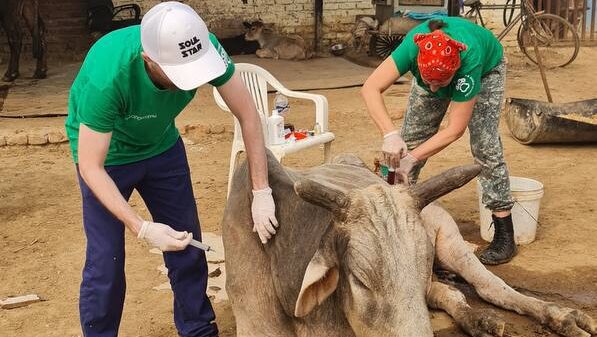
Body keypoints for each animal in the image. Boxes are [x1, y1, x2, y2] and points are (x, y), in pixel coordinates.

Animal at [224, 152, 596, 336]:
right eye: (359, 280)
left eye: (420, 263)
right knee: (452, 294)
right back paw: (480, 322)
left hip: (449, 240)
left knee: (491, 287)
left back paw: (565, 319)